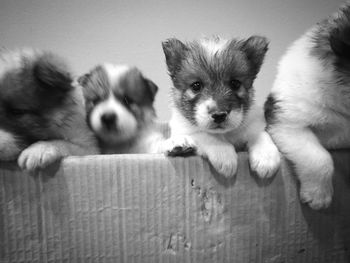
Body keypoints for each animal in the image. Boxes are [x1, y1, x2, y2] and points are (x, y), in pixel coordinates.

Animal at [162, 36, 282, 178]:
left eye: (235, 83)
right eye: (196, 85)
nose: (219, 115)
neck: (225, 134)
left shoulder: (253, 124)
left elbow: (259, 134)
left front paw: (266, 157)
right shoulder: (185, 128)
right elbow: (205, 135)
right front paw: (224, 155)